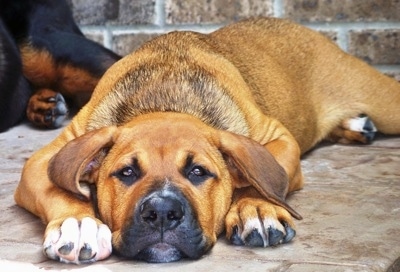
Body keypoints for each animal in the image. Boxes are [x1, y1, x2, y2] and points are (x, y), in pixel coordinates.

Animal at [13, 17, 400, 264]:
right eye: (126, 173)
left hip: (384, 101)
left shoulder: (279, 138)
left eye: (198, 172)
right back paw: (353, 125)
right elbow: (60, 189)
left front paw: (256, 209)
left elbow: (261, 178)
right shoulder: (45, 159)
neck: (164, 98)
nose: (162, 213)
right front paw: (79, 225)